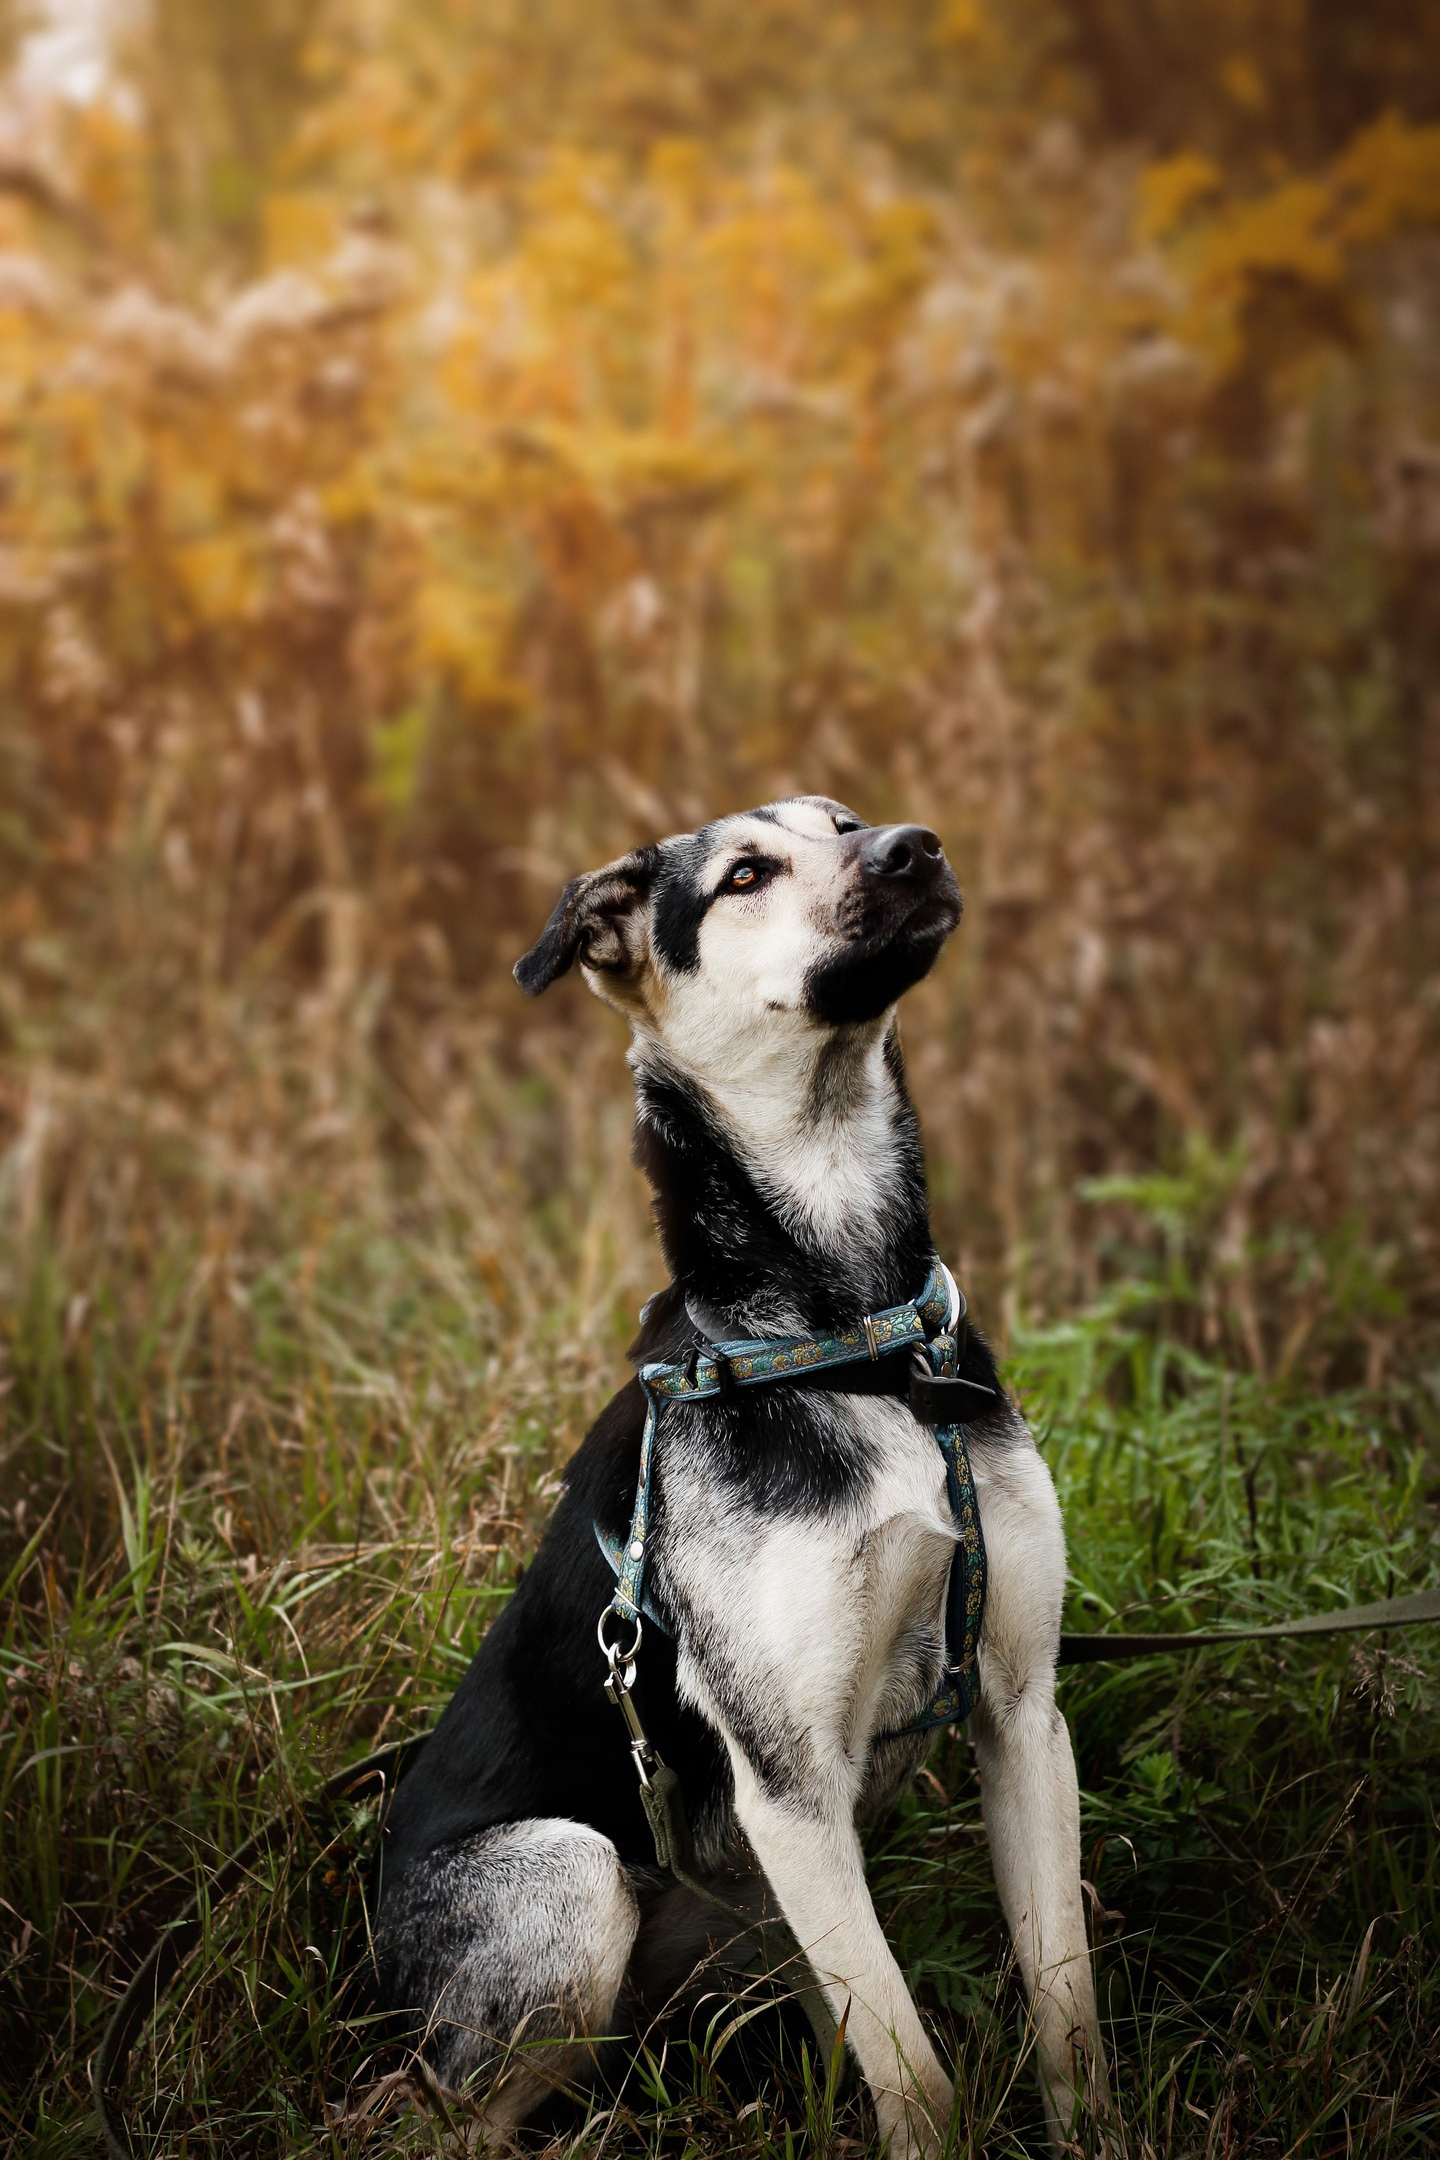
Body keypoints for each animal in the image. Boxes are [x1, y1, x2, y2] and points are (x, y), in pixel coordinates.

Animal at [371, 803, 1105, 2151]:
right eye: (745, 876)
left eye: (847, 821)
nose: (917, 845)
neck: (855, 1336)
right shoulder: (791, 1790)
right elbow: (916, 2078)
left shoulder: (1023, 1712)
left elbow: (1065, 2010)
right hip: (569, 1879)